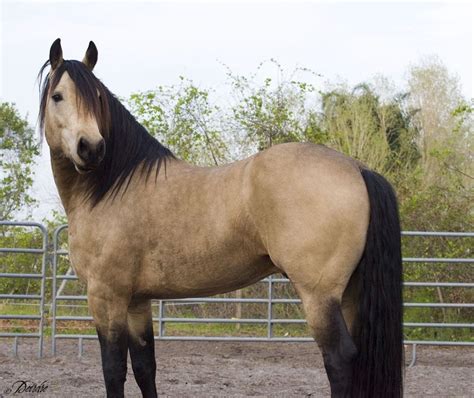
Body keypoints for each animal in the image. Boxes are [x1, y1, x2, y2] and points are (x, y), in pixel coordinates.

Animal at [38, 38, 404, 398]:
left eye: (97, 98)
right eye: (58, 96)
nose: (91, 148)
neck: (112, 187)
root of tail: (357, 168)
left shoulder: (106, 297)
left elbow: (113, 370)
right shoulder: (137, 302)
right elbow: (145, 368)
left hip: (319, 296)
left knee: (339, 359)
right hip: (350, 293)